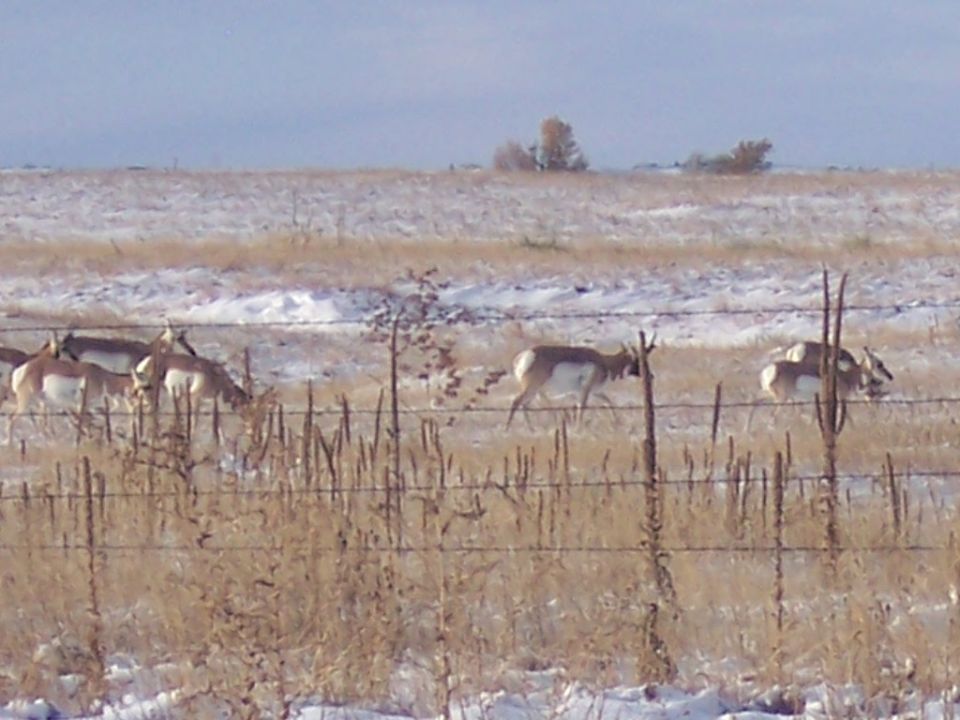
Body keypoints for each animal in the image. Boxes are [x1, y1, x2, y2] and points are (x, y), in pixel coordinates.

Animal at [506, 336, 655, 428]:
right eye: (638, 361)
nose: (651, 376)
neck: (604, 362)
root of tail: (523, 356)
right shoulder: (585, 390)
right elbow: (581, 408)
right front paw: (578, 428)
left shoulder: (595, 392)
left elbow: (608, 402)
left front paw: (617, 422)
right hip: (532, 387)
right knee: (516, 401)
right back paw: (508, 428)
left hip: (535, 390)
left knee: (524, 404)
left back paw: (532, 429)